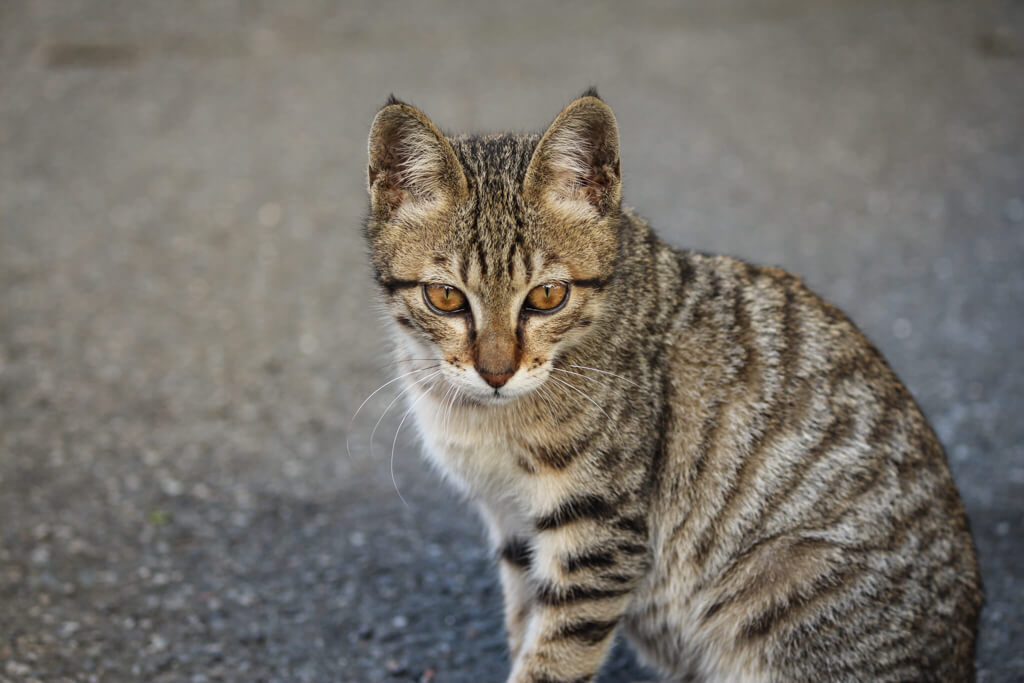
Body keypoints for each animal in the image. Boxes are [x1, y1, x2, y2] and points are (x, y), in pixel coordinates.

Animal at [362, 92, 983, 683]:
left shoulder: (601, 530)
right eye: (445, 297)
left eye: (547, 297)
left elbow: (555, 656)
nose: (495, 372)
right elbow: (525, 626)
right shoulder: (515, 526)